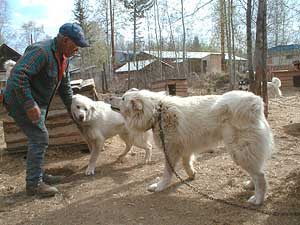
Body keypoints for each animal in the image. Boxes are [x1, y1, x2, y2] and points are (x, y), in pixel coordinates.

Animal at [110, 89, 274, 205]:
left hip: (240, 151)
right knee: (257, 172)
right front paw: (191, 174)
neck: (157, 112)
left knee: (260, 176)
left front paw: (160, 186)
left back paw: (257, 199)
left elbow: (167, 173)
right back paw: (250, 185)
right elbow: (186, 163)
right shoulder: (185, 148)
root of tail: (255, 103)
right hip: (245, 153)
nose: (110, 97)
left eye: (123, 98)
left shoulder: (170, 151)